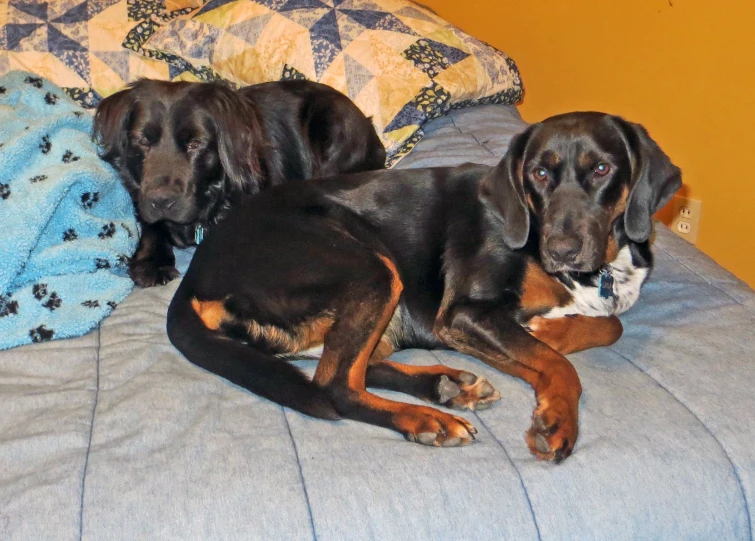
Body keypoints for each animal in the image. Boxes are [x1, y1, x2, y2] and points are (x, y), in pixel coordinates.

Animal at [168, 112, 684, 462]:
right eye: (539, 173)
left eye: (601, 170)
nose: (563, 248)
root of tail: (195, 273)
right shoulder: (465, 313)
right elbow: (560, 363)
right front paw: (557, 417)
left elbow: (611, 324)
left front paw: (556, 329)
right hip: (372, 269)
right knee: (334, 386)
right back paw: (428, 417)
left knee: (345, 367)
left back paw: (445, 385)